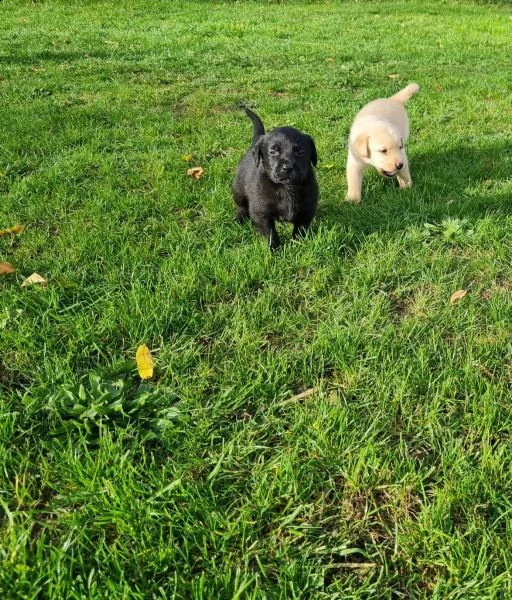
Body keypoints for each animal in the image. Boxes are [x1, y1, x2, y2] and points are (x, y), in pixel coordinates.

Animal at [231, 107, 316, 248]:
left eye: (301, 152)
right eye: (272, 152)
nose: (287, 167)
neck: (287, 188)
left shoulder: (306, 211)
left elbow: (300, 230)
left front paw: (297, 245)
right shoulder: (261, 213)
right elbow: (270, 233)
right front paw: (275, 249)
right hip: (238, 190)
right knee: (241, 206)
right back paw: (240, 218)